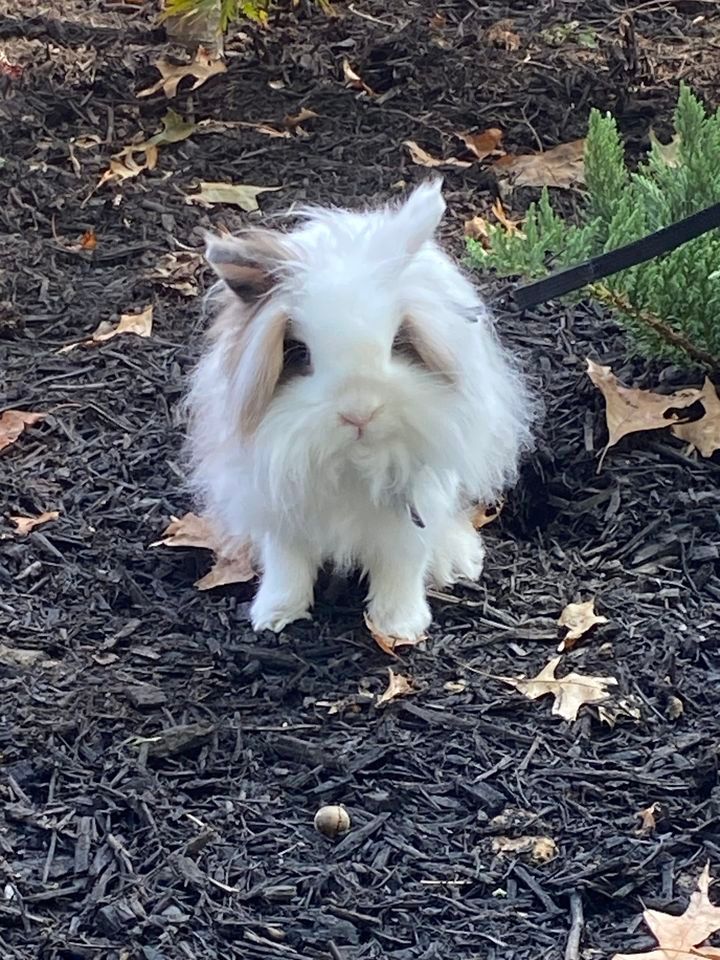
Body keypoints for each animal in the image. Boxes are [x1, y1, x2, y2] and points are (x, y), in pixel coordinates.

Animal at [185, 179, 535, 642]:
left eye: (398, 343)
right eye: (299, 353)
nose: (359, 413)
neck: (352, 461)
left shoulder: (412, 513)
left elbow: (402, 565)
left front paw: (400, 624)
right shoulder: (280, 509)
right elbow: (286, 565)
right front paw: (275, 616)